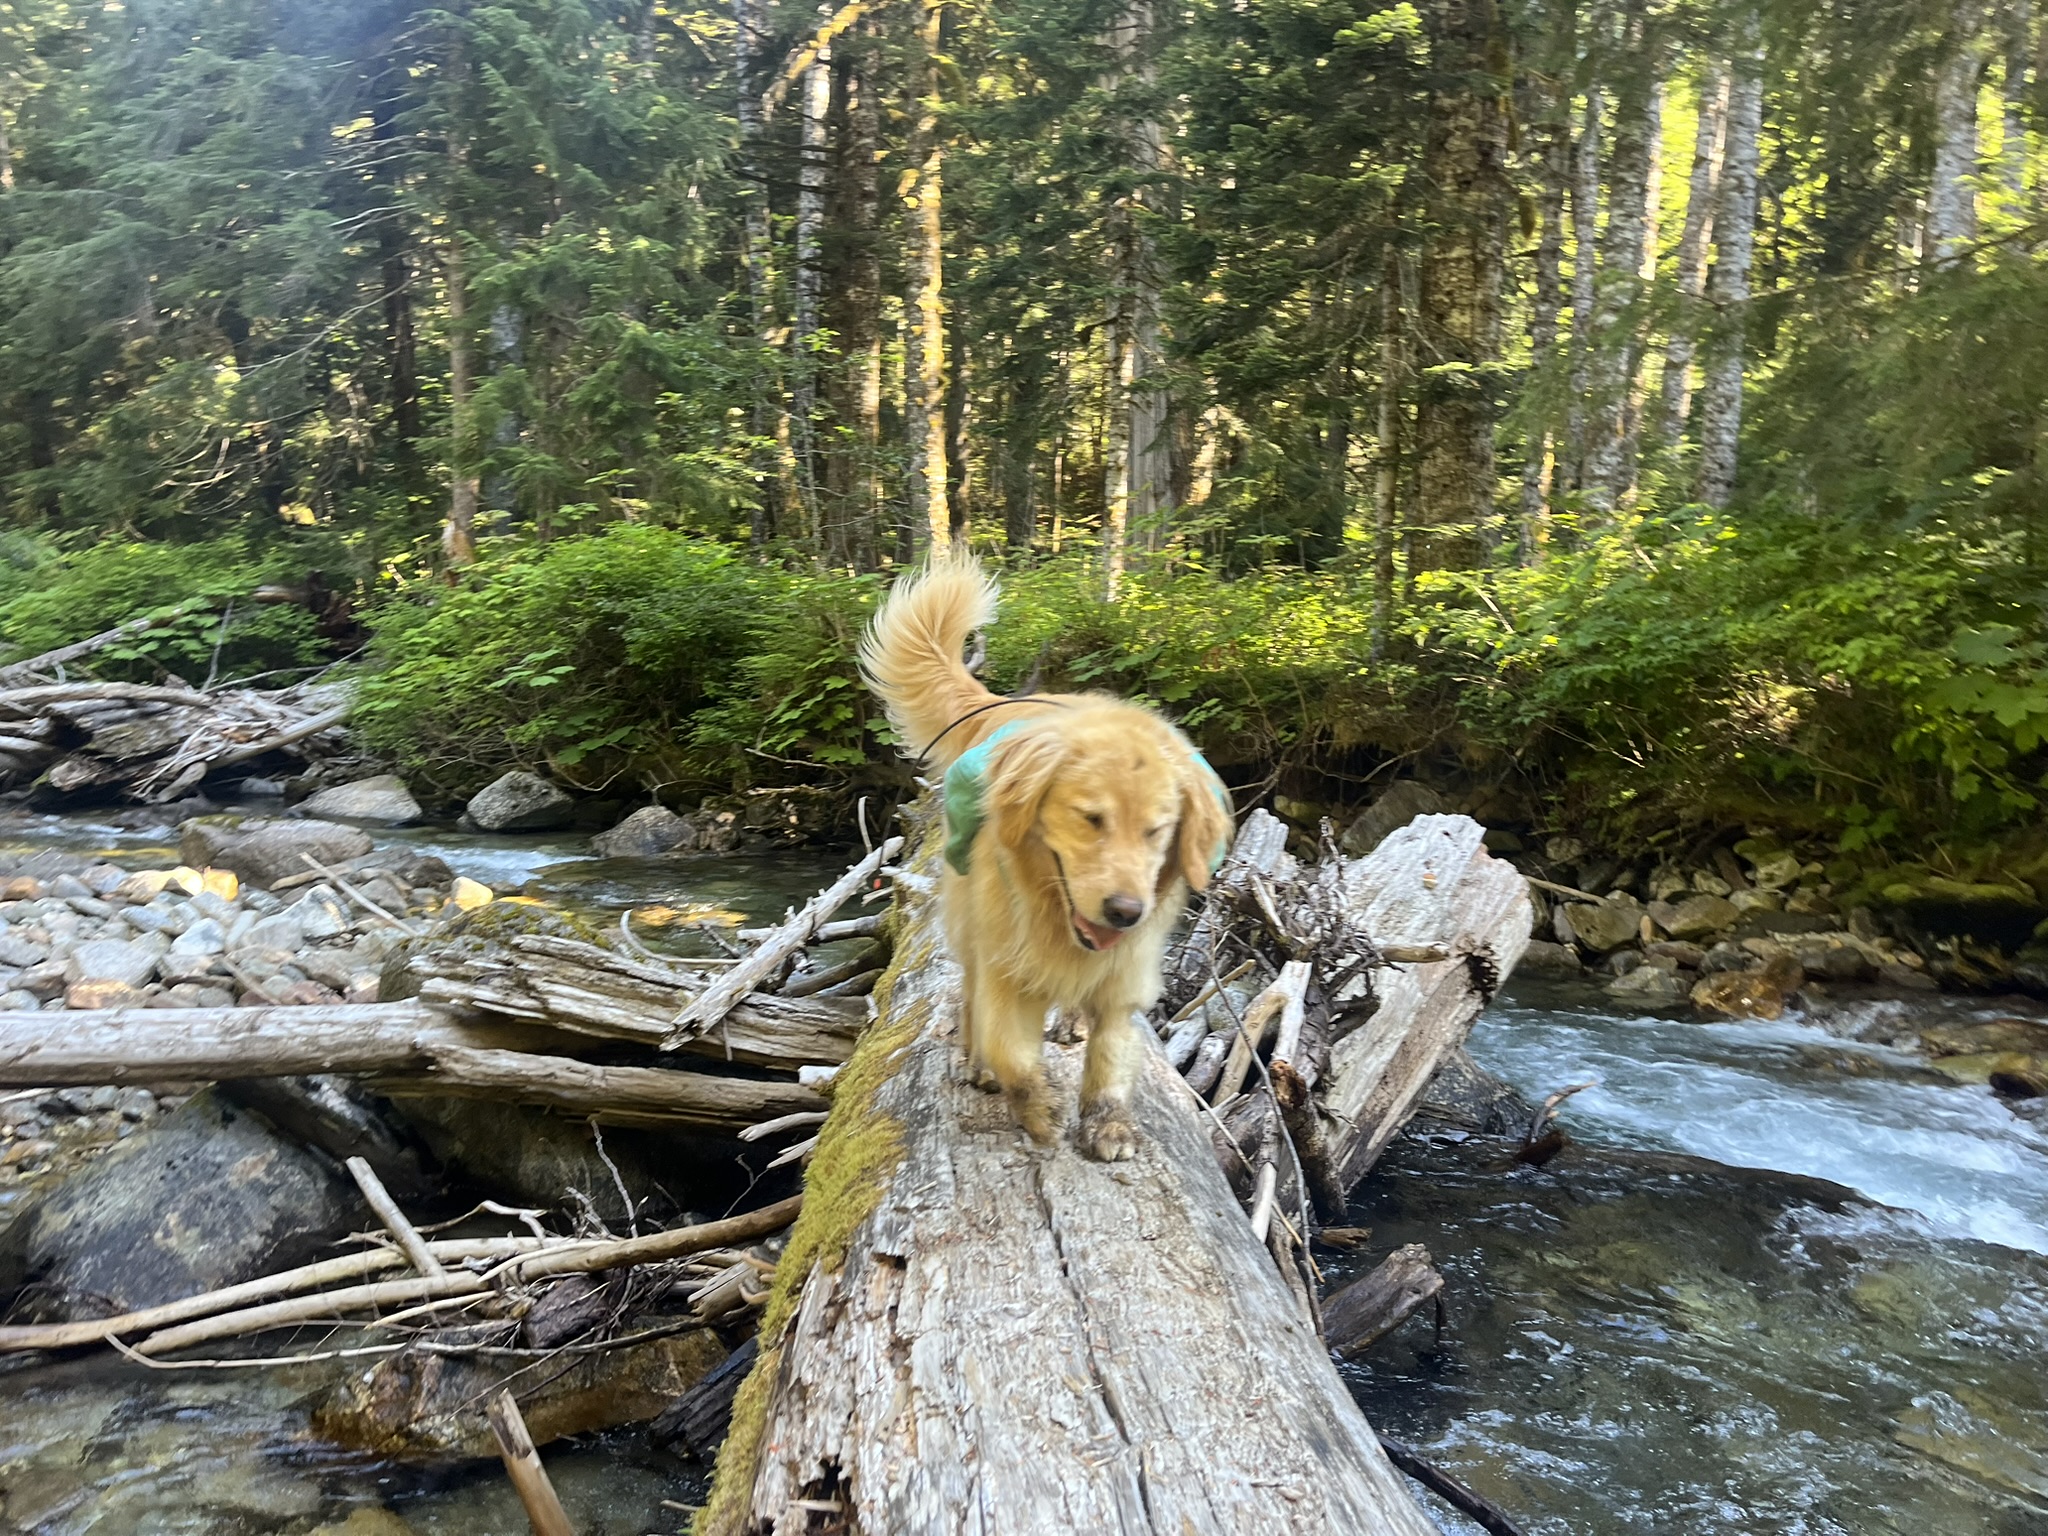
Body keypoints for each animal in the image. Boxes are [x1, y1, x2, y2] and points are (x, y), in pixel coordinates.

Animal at [860, 556, 1232, 1161]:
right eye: (1091, 818)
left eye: (1157, 831)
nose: (1125, 912)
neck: (1056, 918)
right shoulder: (1008, 965)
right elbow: (1011, 1051)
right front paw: (1036, 1109)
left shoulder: (1125, 977)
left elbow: (1110, 1057)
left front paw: (1109, 1125)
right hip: (968, 929)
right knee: (969, 999)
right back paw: (978, 1061)